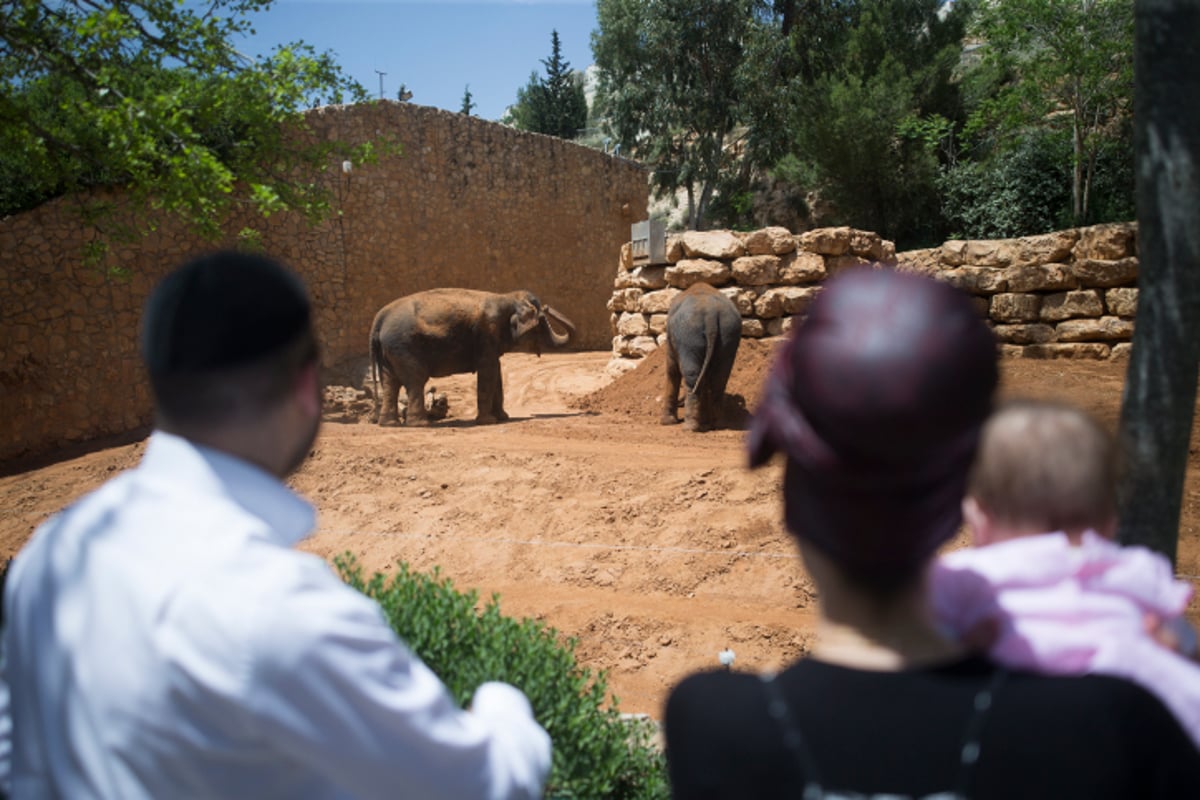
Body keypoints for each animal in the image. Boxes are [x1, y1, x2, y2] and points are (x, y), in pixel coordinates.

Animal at [367, 291, 573, 429]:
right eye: (541, 322)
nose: (547, 307)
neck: (507, 297)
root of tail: (378, 319)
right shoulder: (486, 333)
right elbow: (488, 371)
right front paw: (488, 422)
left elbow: (496, 372)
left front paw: (503, 418)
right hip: (404, 346)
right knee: (416, 380)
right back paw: (420, 424)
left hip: (390, 352)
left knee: (390, 383)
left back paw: (388, 424)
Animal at [662, 281, 744, 431]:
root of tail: (710, 315)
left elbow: (672, 370)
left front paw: (667, 422)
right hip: (729, 333)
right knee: (720, 377)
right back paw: (718, 425)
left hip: (689, 335)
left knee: (692, 377)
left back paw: (690, 428)